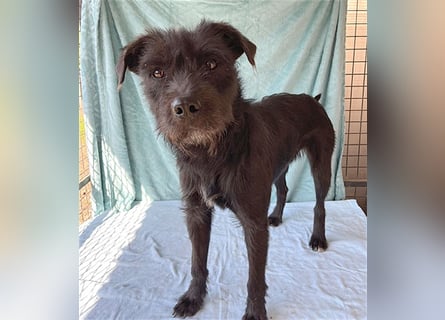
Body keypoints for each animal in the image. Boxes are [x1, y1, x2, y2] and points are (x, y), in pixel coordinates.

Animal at [116, 20, 334, 320]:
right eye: (157, 72)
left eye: (211, 63)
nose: (185, 107)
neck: (212, 152)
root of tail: (311, 98)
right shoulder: (196, 212)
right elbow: (197, 262)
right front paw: (193, 298)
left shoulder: (253, 222)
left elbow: (255, 277)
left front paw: (255, 313)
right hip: (278, 165)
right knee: (283, 188)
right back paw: (276, 217)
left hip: (322, 162)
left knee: (320, 203)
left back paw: (318, 238)